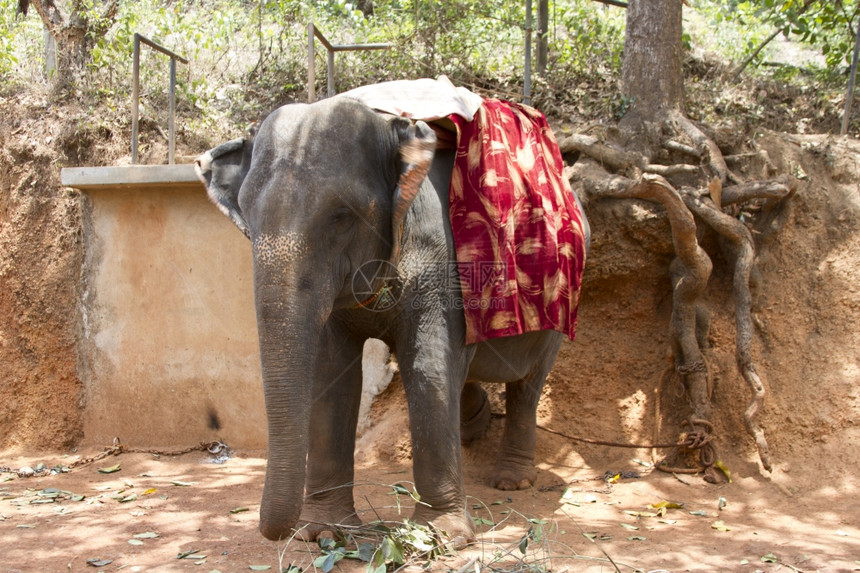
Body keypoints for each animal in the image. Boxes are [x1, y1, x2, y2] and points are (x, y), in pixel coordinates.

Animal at [194, 95, 584, 544]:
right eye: (247, 214)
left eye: (341, 215)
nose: (276, 532)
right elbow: (333, 375)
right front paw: (324, 534)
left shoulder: (443, 265)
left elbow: (429, 367)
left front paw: (440, 536)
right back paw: (474, 428)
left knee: (527, 383)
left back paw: (512, 480)